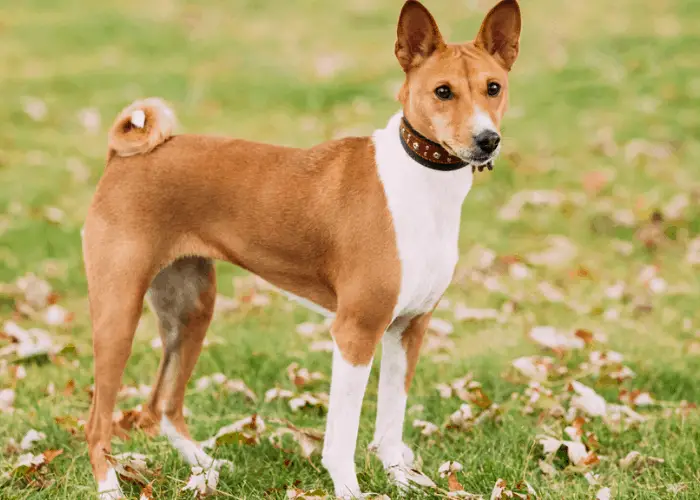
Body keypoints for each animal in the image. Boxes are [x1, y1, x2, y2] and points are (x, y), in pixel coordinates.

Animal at [83, 0, 520, 496]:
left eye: (493, 88)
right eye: (443, 91)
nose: (487, 140)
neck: (421, 183)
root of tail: (122, 158)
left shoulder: (408, 328)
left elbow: (391, 423)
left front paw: (402, 481)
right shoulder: (355, 331)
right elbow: (342, 436)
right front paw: (349, 489)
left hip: (191, 309)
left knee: (163, 405)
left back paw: (205, 467)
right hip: (118, 314)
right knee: (98, 422)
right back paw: (111, 485)